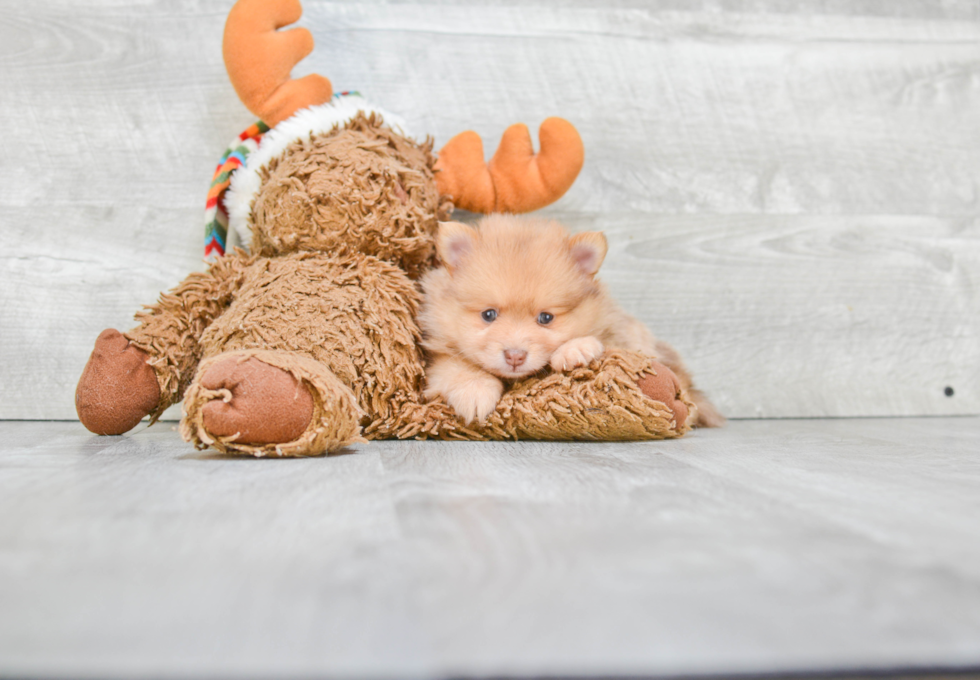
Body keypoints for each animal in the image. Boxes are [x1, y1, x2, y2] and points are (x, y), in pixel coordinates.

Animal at [418, 214, 724, 424]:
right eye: (488, 315)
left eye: (546, 318)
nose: (515, 356)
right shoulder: (439, 352)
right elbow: (456, 366)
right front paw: (475, 392)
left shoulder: (621, 333)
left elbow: (604, 343)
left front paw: (574, 349)